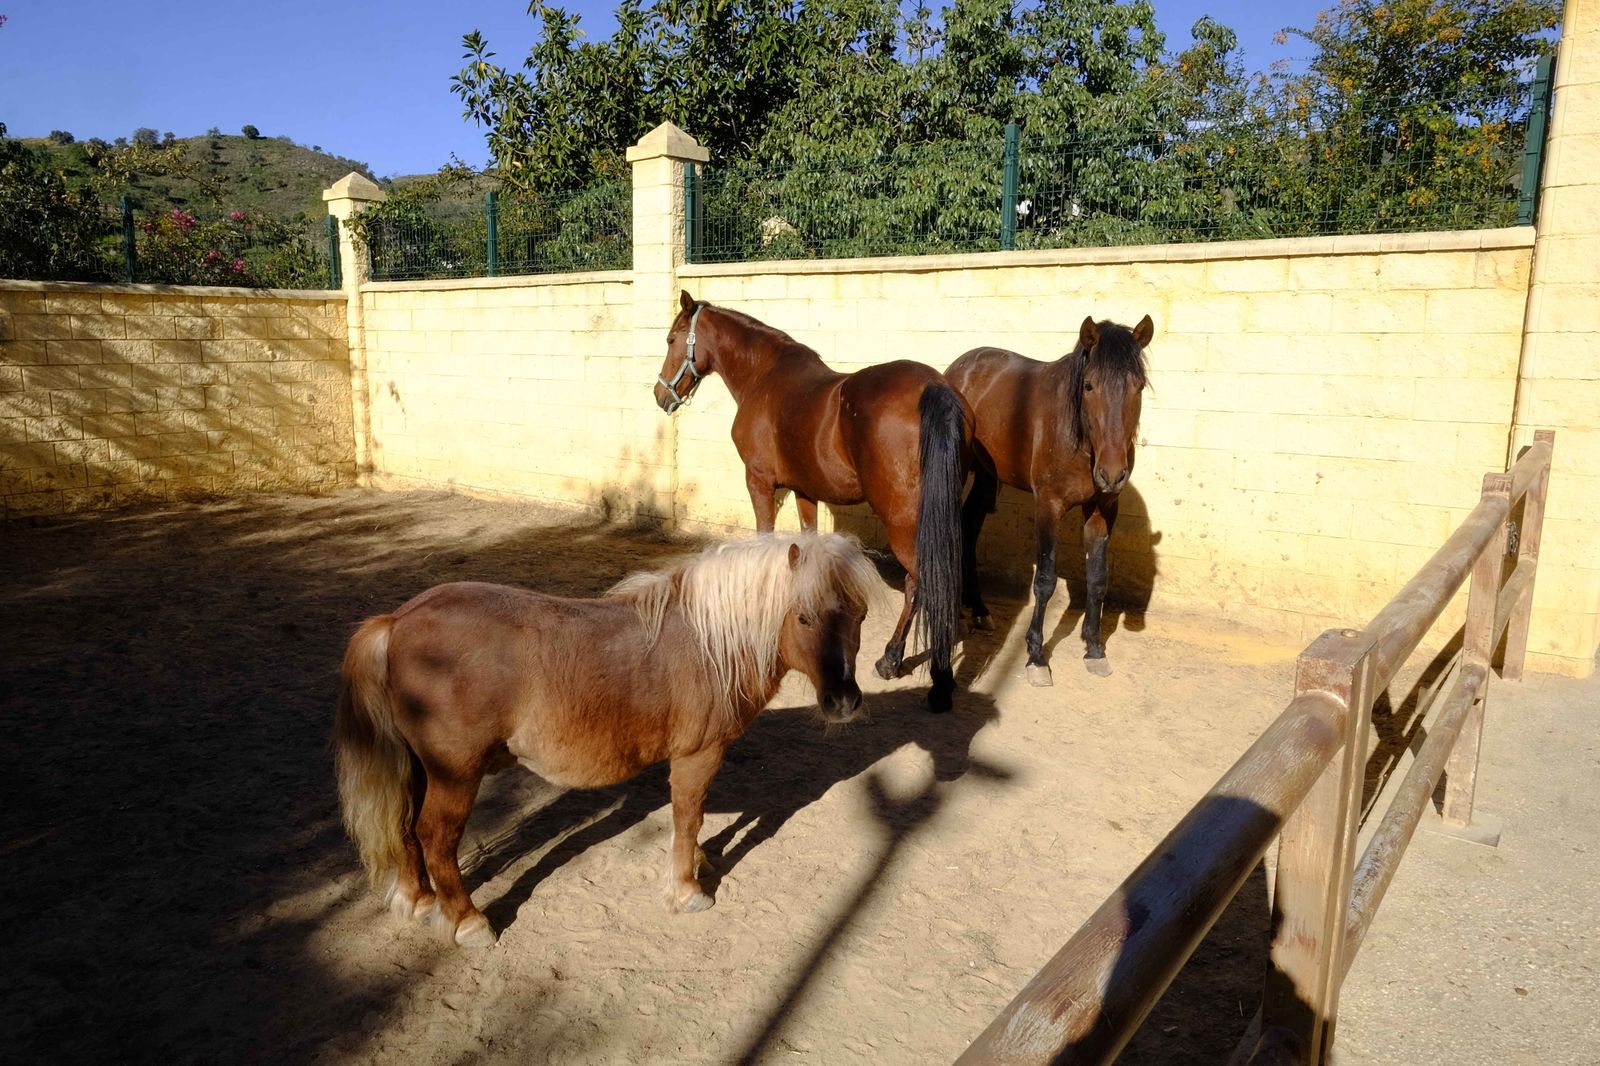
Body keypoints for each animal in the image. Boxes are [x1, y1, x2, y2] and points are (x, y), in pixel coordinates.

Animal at [332, 532, 879, 947]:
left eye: (861, 615)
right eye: (805, 616)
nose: (844, 702)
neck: (708, 643)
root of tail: (397, 621)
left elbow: (695, 820)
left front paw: (698, 863)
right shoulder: (698, 754)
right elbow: (688, 816)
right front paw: (687, 889)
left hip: (418, 767)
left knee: (405, 827)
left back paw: (418, 901)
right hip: (455, 774)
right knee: (436, 838)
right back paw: (469, 922)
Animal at [653, 291, 972, 712]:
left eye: (672, 339)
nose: (660, 395)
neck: (763, 376)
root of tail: (934, 387)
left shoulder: (759, 482)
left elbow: (765, 536)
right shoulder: (805, 491)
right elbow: (806, 544)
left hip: (904, 522)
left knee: (921, 584)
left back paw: (907, 667)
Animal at [946, 315, 1154, 685]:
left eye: (1138, 386)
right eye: (1089, 385)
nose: (1112, 474)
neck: (1079, 438)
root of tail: (958, 368)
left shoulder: (1102, 510)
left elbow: (1097, 579)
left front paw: (1094, 650)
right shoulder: (1048, 506)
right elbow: (1044, 580)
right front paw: (1036, 657)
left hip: (986, 476)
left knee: (968, 529)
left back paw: (980, 611)